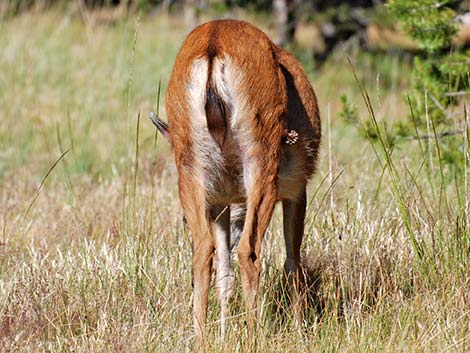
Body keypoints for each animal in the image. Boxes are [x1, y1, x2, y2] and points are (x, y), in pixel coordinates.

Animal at [152, 18, 322, 340]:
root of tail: (214, 42)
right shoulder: (296, 191)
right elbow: (293, 262)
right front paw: (300, 331)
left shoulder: (220, 202)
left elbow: (224, 273)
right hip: (261, 163)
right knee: (249, 251)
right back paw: (255, 336)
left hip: (191, 168)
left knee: (204, 254)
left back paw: (202, 339)